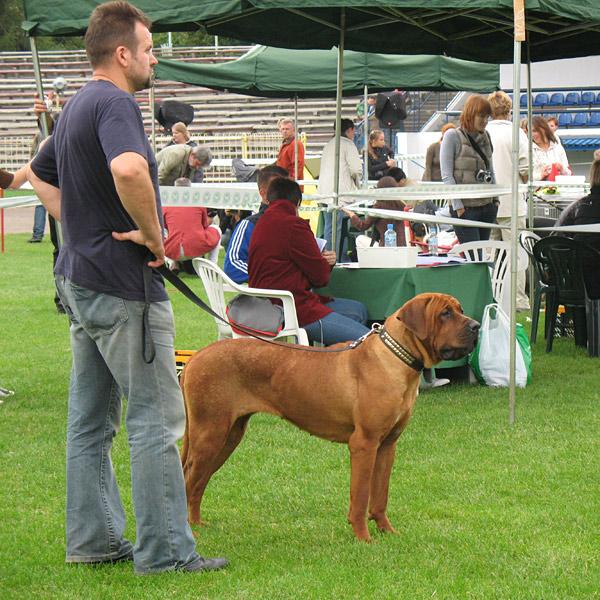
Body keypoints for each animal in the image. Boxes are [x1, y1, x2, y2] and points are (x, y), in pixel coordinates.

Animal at [180, 292, 480, 540]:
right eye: (445, 314)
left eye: (460, 310)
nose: (476, 326)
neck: (396, 357)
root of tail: (196, 357)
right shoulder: (364, 444)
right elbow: (361, 496)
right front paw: (363, 538)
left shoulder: (387, 445)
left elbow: (380, 496)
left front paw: (387, 532)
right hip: (210, 434)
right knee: (189, 481)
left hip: (228, 436)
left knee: (197, 484)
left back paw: (197, 524)